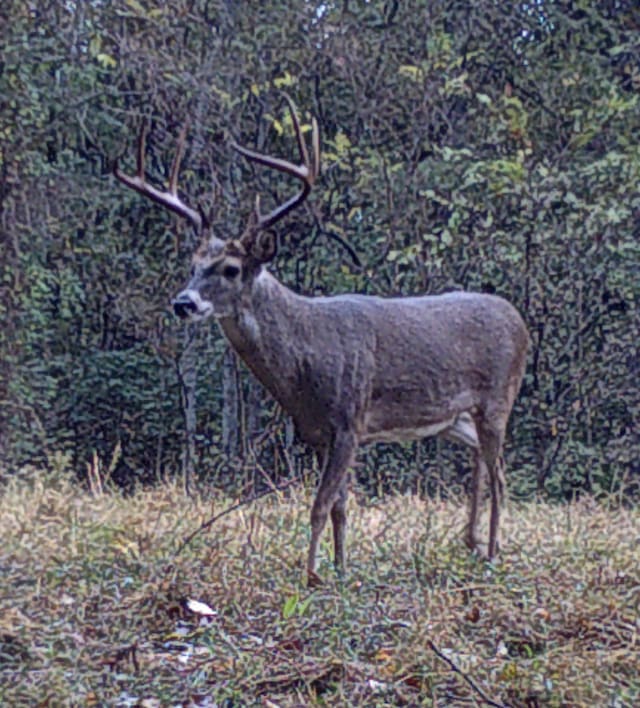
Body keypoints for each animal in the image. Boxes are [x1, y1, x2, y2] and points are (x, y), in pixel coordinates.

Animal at [116, 97, 528, 584]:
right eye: (194, 265)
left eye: (230, 269)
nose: (183, 302)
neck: (304, 362)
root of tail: (520, 321)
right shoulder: (318, 433)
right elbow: (339, 508)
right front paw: (341, 568)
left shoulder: (350, 419)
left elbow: (318, 506)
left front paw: (311, 575)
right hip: (456, 418)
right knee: (482, 465)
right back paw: (471, 543)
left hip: (499, 398)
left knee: (501, 475)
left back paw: (494, 552)